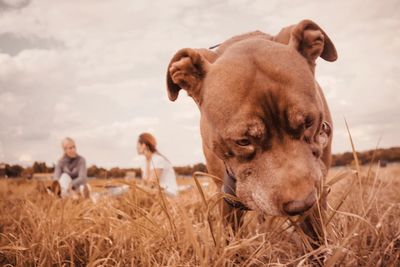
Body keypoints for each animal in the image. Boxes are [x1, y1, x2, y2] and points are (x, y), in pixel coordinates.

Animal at [166, 19, 338, 239]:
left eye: (308, 122)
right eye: (243, 141)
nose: (302, 204)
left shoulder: (317, 184)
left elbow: (316, 234)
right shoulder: (226, 197)